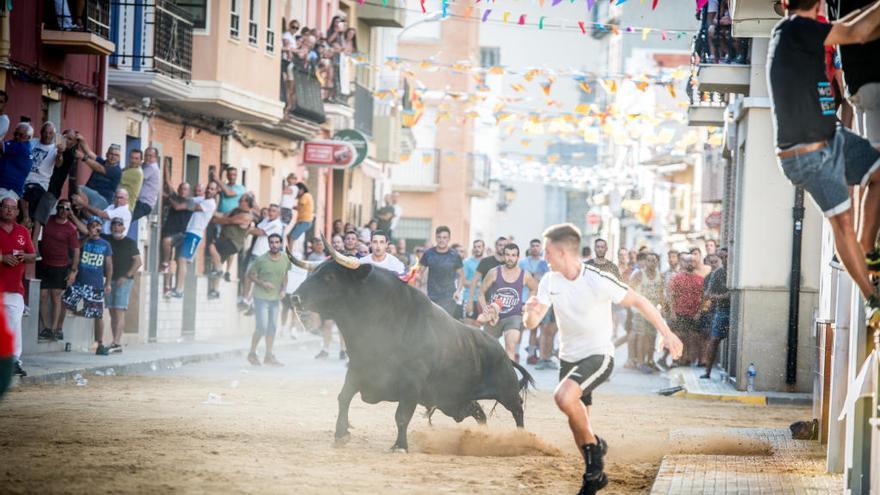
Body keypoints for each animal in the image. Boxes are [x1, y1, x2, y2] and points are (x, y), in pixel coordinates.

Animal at [292, 262, 532, 452]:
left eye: (329, 277)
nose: (294, 297)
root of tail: (503, 353)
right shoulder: (357, 370)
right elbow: (343, 398)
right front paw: (341, 435)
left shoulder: (411, 384)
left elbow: (401, 415)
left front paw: (400, 446)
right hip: (453, 400)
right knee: (479, 412)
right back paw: (483, 437)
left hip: (506, 391)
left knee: (518, 409)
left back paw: (521, 439)